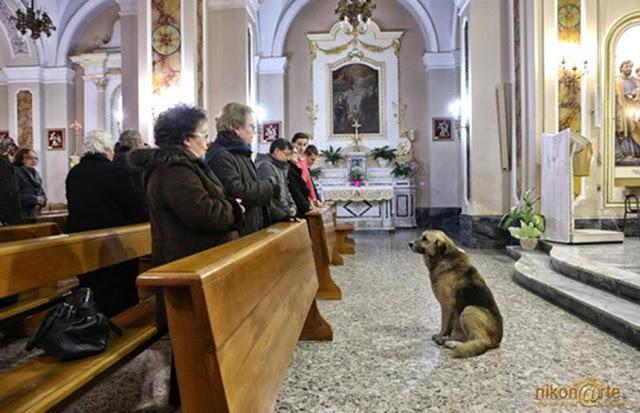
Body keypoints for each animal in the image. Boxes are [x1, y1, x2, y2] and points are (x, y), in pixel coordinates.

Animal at [408, 229, 502, 358]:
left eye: (425, 239)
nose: (409, 243)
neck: (442, 258)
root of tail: (498, 340)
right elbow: (449, 326)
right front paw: (445, 336)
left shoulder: (447, 305)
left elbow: (444, 324)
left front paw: (440, 336)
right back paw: (451, 341)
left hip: (469, 310)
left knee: (481, 341)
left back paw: (452, 343)